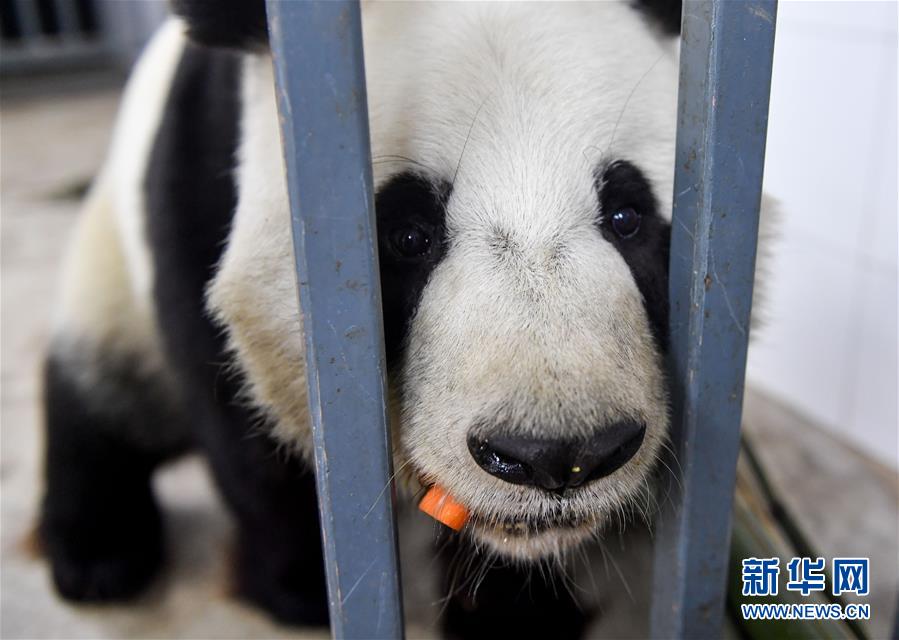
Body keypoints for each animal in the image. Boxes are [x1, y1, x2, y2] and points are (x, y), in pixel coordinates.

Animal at [38, 1, 728, 636]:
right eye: (406, 235)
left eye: (626, 216)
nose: (559, 456)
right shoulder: (201, 188)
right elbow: (239, 419)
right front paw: (304, 590)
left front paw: (515, 612)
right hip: (112, 263)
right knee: (105, 387)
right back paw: (98, 556)